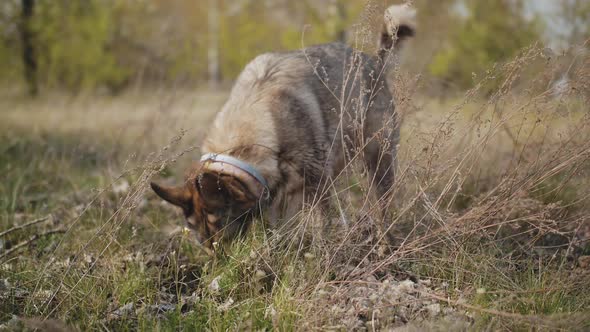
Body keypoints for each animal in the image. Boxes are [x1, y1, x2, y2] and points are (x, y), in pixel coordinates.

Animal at [150, 3, 418, 250]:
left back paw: (385, 242)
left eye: (220, 223)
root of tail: (375, 63)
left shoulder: (316, 184)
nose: (219, 261)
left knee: (382, 206)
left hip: (379, 162)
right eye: (198, 232)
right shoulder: (279, 197)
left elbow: (320, 222)